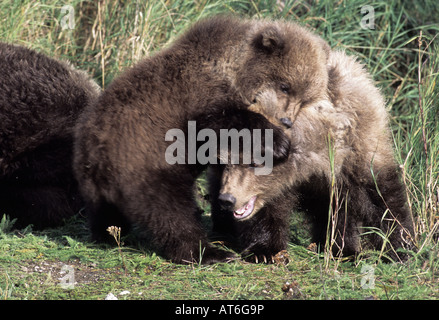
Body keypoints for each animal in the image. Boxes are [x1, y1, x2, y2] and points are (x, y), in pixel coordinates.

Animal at [74, 16, 332, 264]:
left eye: (305, 99)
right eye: (285, 86)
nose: (286, 121)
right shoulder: (198, 98)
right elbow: (227, 121)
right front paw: (277, 142)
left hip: (96, 183)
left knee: (107, 214)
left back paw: (108, 233)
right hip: (144, 162)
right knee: (170, 211)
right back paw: (209, 253)